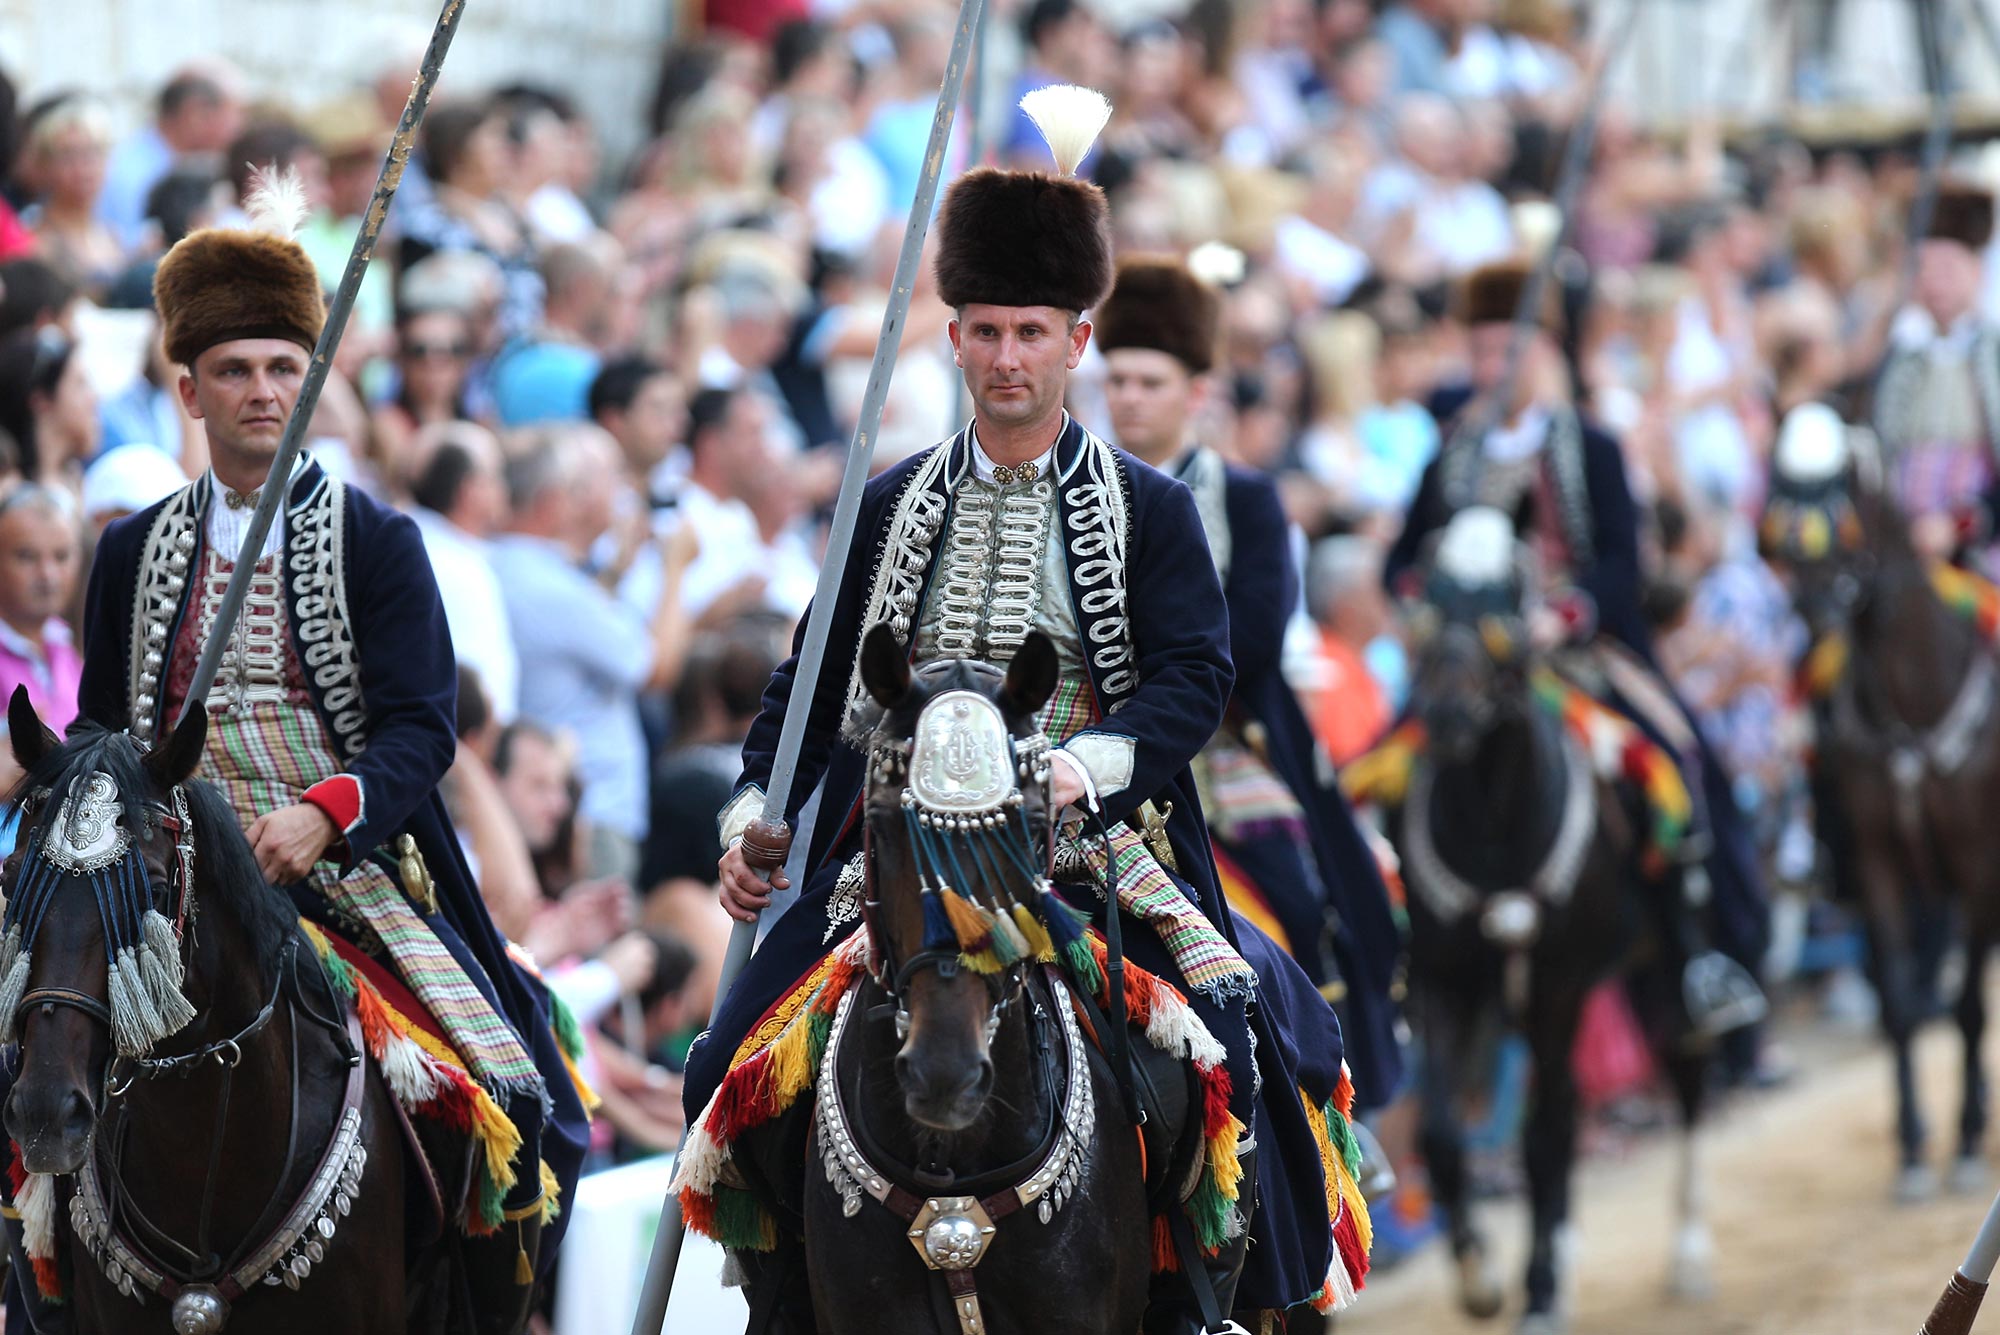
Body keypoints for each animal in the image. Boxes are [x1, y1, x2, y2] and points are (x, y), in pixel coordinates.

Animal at [1384, 543, 1712, 1335]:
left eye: (1502, 601)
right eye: (1430, 599)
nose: (1446, 714)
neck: (1495, 826)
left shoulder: (1557, 986)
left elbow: (1540, 1137)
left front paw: (1533, 1291)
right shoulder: (1446, 985)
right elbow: (1443, 1135)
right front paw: (1480, 1277)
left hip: (1654, 970)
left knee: (1680, 1071)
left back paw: (1685, 1251)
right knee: (1565, 1107)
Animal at [1776, 421, 2000, 1207]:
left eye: (1841, 495)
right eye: (1779, 498)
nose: (1813, 607)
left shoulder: (1977, 868)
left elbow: (1967, 1008)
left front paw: (1963, 1141)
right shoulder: (1878, 869)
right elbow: (1902, 1005)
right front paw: (1910, 1148)